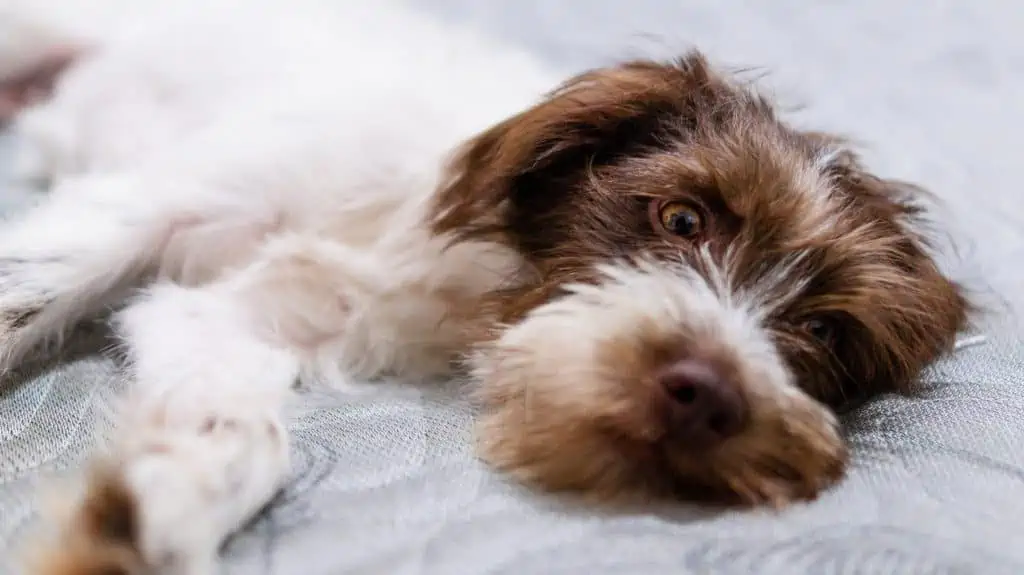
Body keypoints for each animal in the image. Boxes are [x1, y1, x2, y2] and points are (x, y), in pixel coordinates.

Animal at [2, 1, 966, 572]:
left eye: (826, 333)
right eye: (682, 219)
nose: (707, 396)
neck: (465, 277)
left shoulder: (227, 317)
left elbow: (243, 428)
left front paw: (140, 512)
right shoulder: (152, 202)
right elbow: (29, 290)